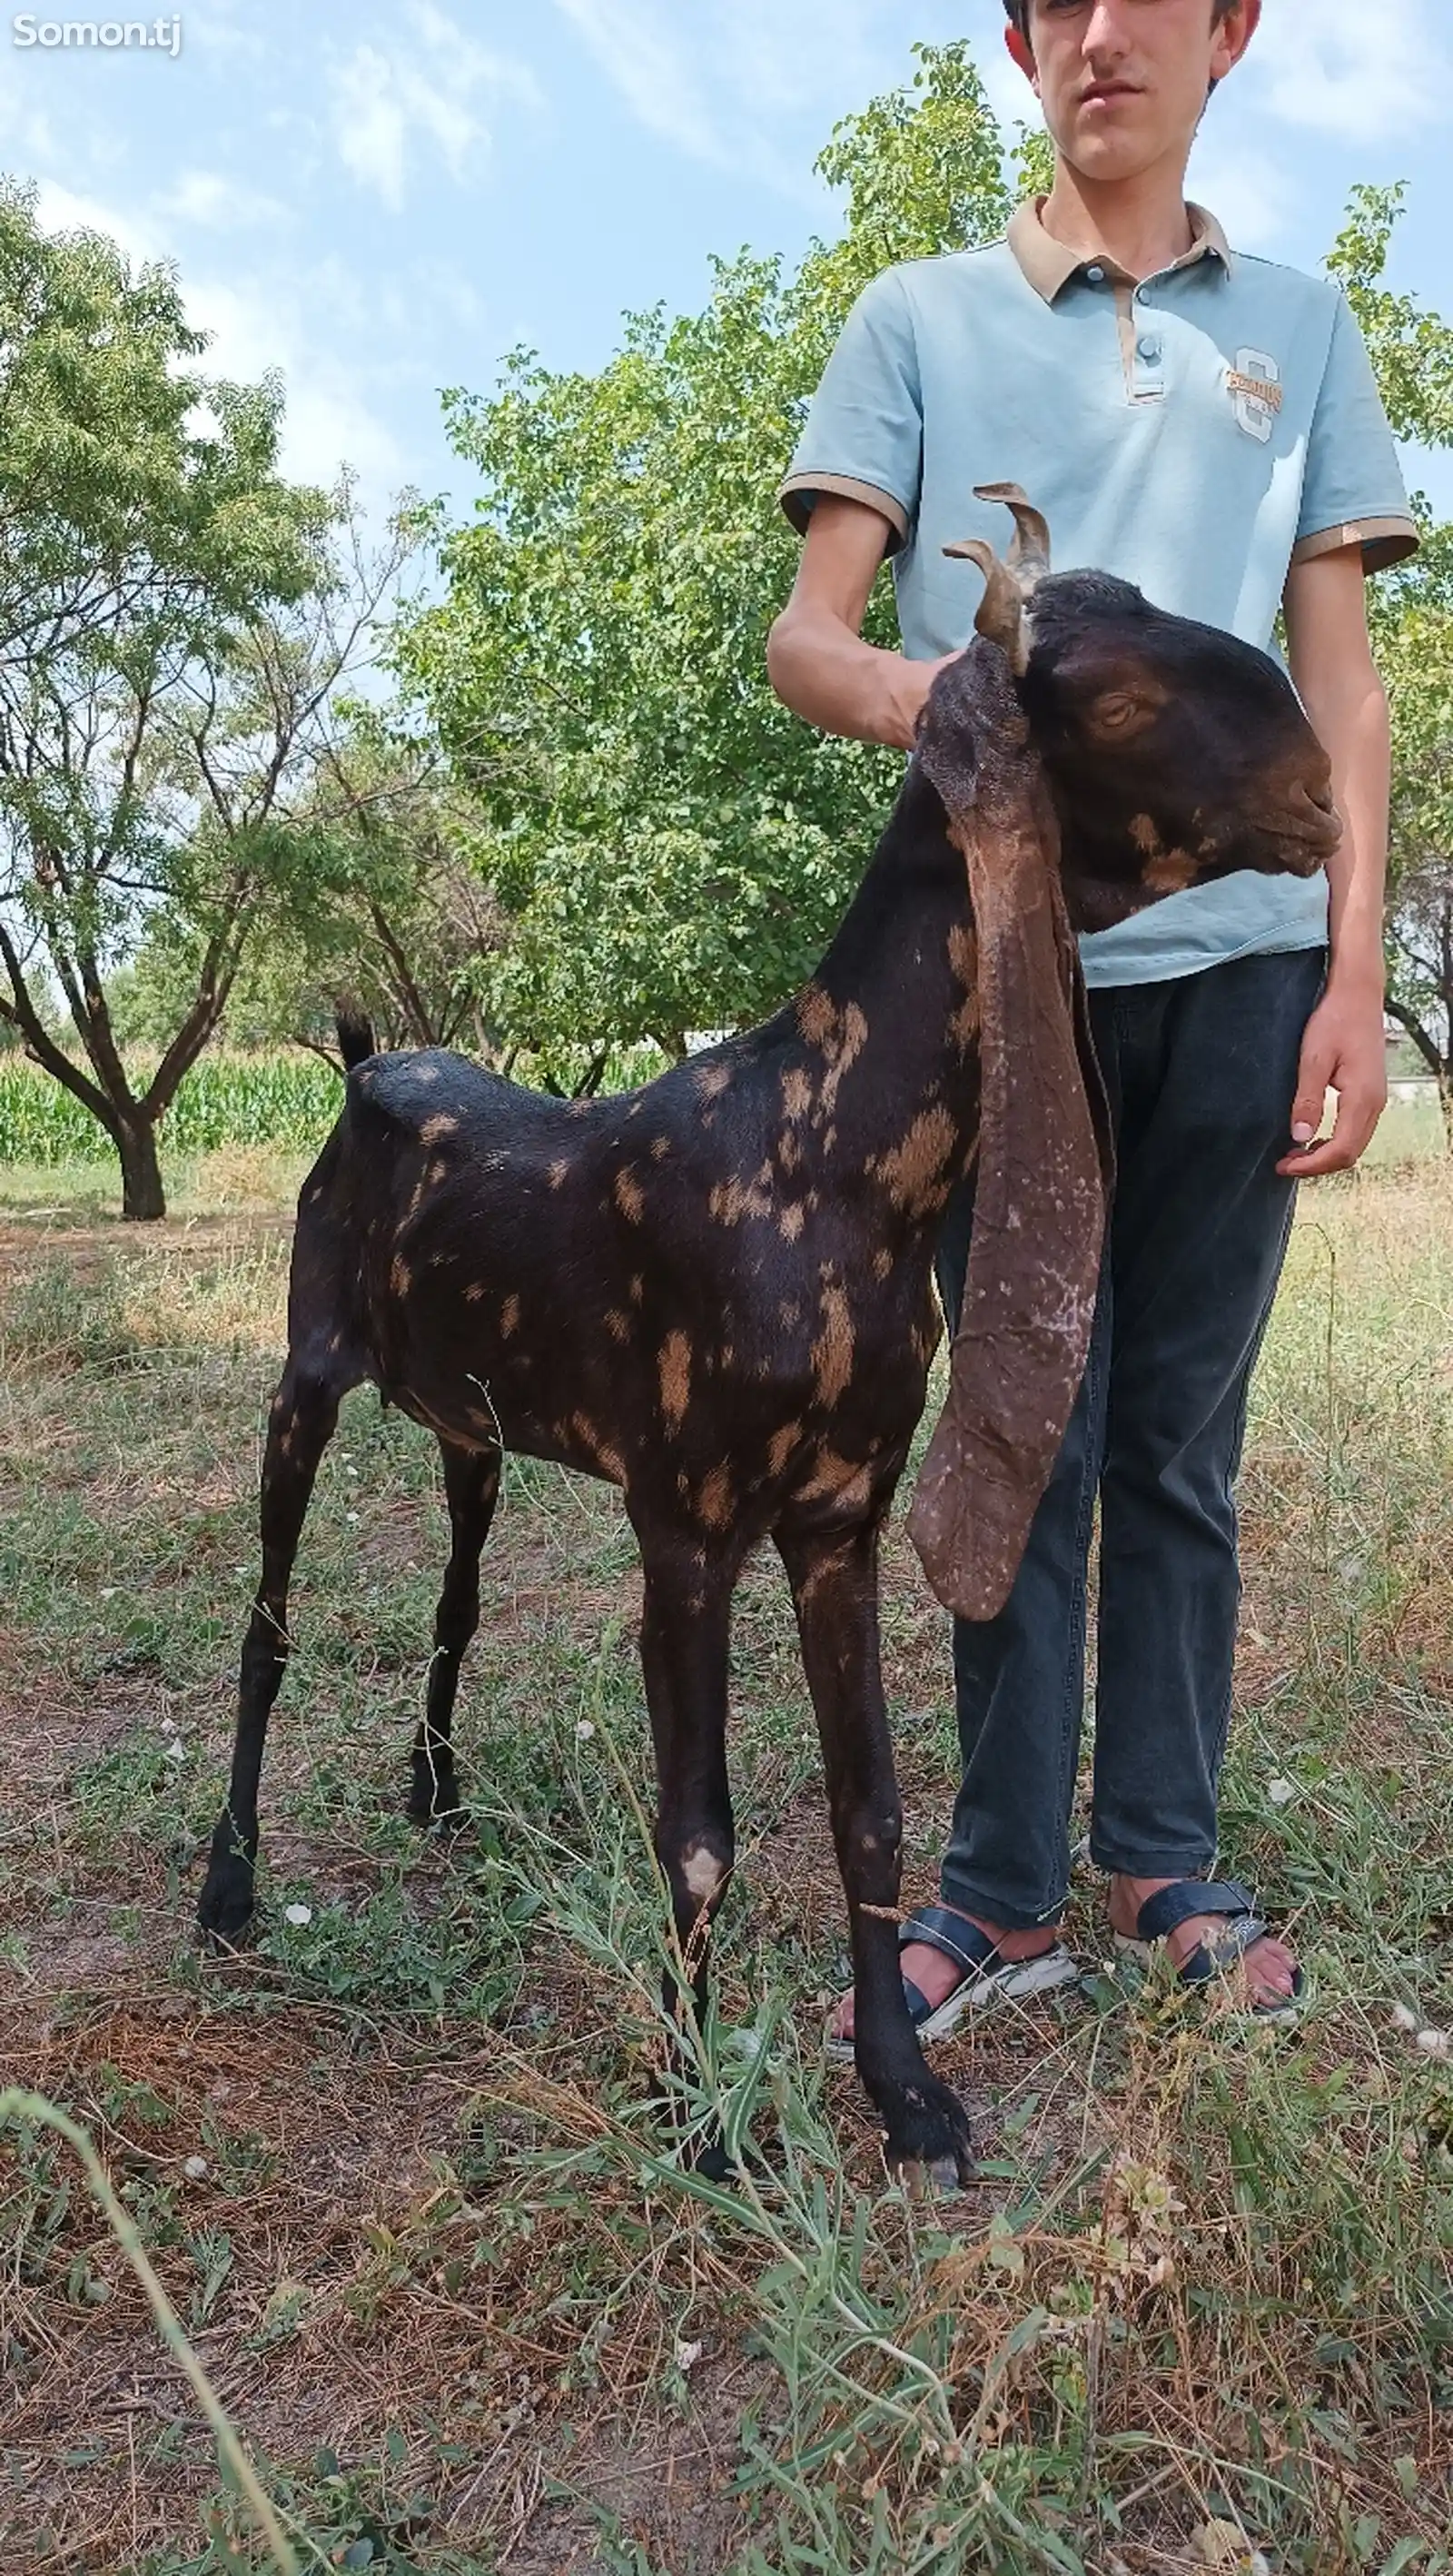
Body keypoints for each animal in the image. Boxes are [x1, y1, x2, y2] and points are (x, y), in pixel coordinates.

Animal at [198, 491, 1329, 2184]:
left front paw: (907, 2097)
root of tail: (361, 1065)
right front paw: (692, 2105)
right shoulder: (686, 1526)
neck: (824, 1156)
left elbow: (870, 1809)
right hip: (304, 1376)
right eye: (1120, 697)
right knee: (267, 1627)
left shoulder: (837, 1519)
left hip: (472, 1429)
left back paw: (437, 1792)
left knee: (458, 1596)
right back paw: (227, 1888)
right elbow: (700, 1834)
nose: (1327, 792)